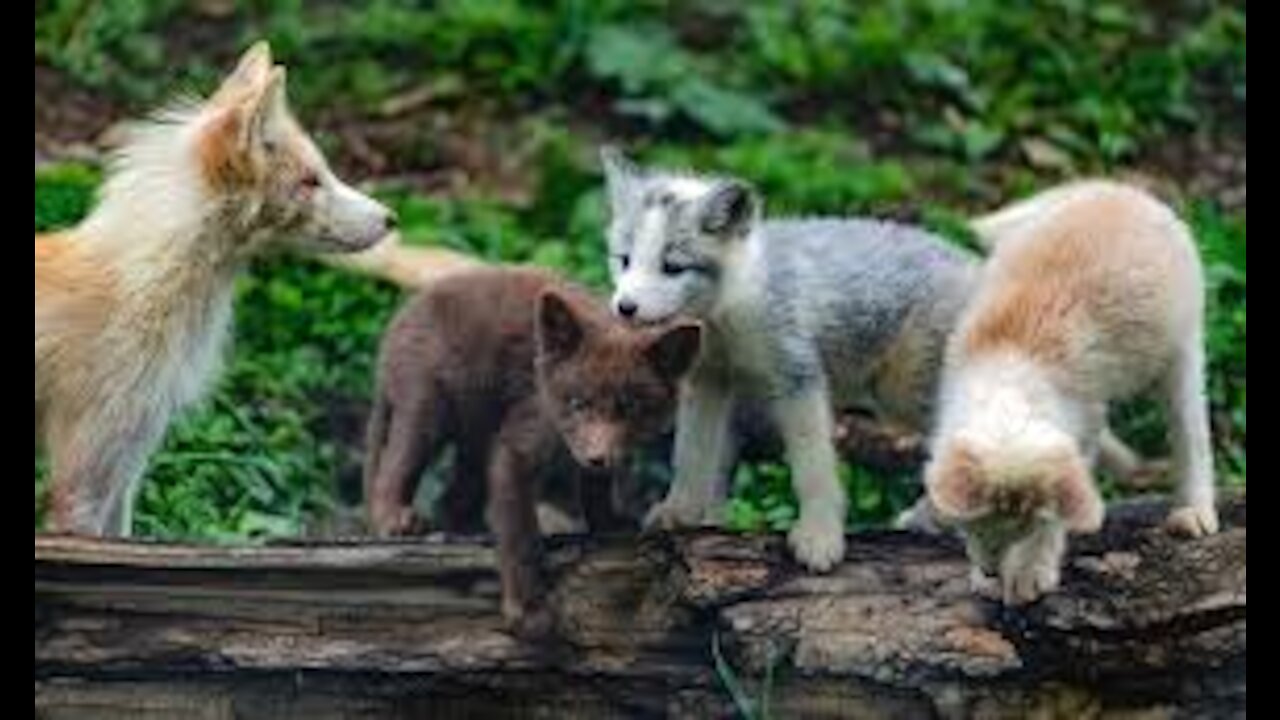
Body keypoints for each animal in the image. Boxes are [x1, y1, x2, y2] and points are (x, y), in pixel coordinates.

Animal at [35, 42, 396, 537]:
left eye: (324, 172)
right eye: (310, 181)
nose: (391, 219)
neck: (139, 288)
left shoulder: (126, 465)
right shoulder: (84, 475)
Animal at [364, 267, 702, 638]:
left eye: (631, 410)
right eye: (578, 403)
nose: (598, 458)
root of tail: (395, 327)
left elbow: (596, 487)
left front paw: (609, 523)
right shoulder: (524, 436)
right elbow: (520, 532)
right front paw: (528, 610)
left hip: (476, 426)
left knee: (452, 493)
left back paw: (466, 527)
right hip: (427, 400)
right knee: (398, 462)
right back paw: (394, 519)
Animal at [924, 180, 1219, 605]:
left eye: (1024, 528)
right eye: (974, 525)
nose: (991, 570)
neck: (1010, 385)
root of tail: (1120, 190)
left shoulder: (1080, 429)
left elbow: (1060, 507)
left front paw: (1030, 571)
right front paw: (985, 577)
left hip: (1181, 350)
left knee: (1191, 431)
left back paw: (1194, 510)